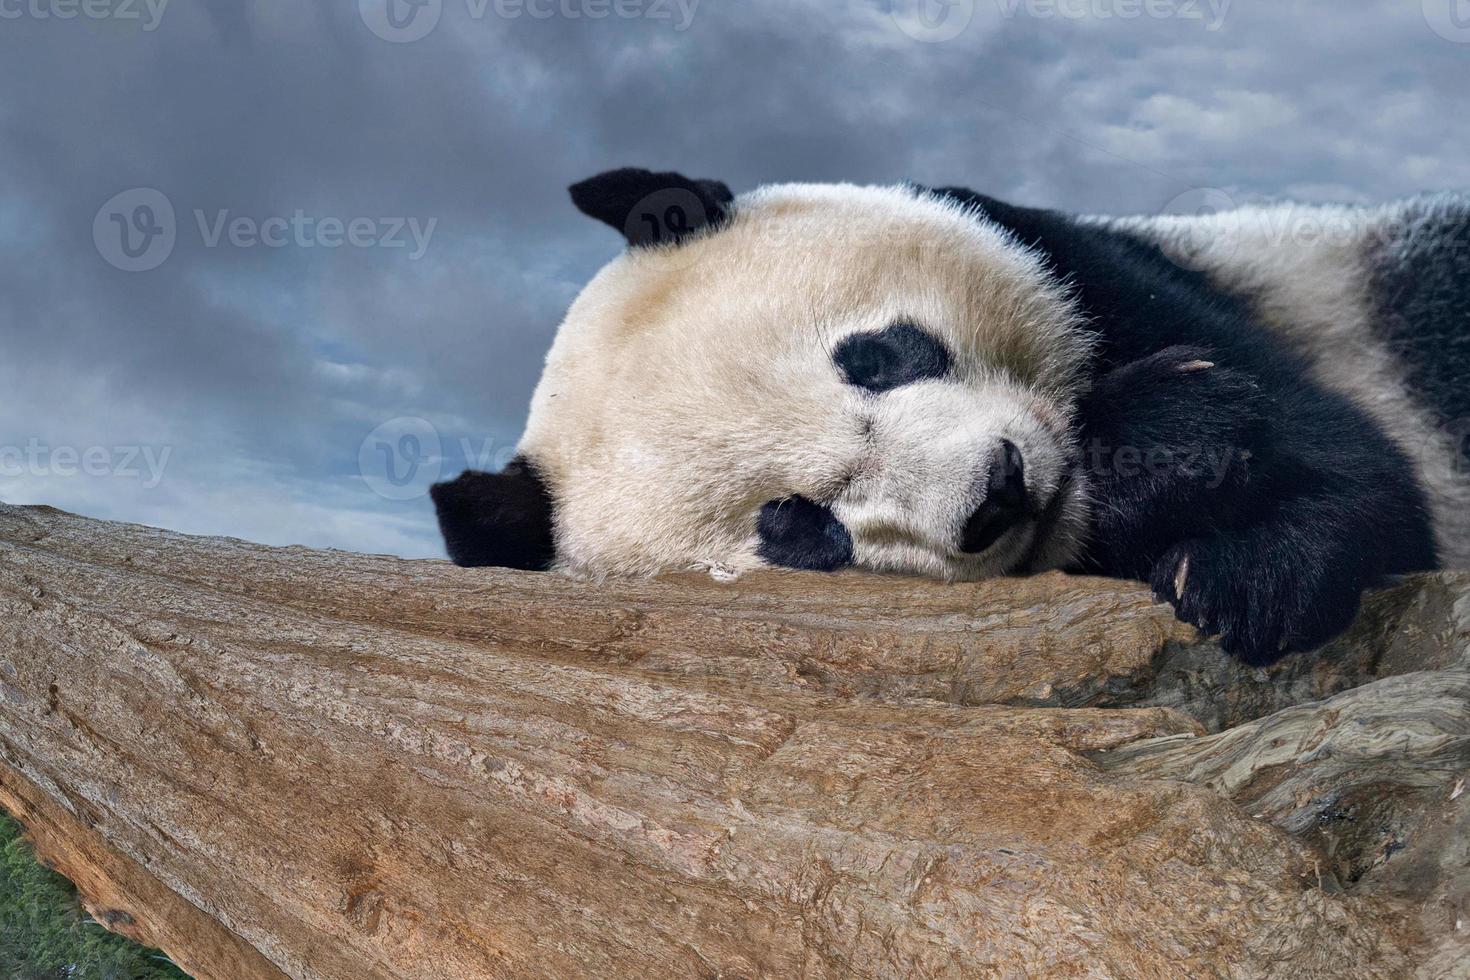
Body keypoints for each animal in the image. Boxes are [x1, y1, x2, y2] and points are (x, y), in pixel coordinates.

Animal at [429, 172, 1464, 669]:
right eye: (797, 525)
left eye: (879, 355)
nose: (1001, 490)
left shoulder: (1102, 272)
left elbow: (1351, 465)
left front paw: (1240, 571)